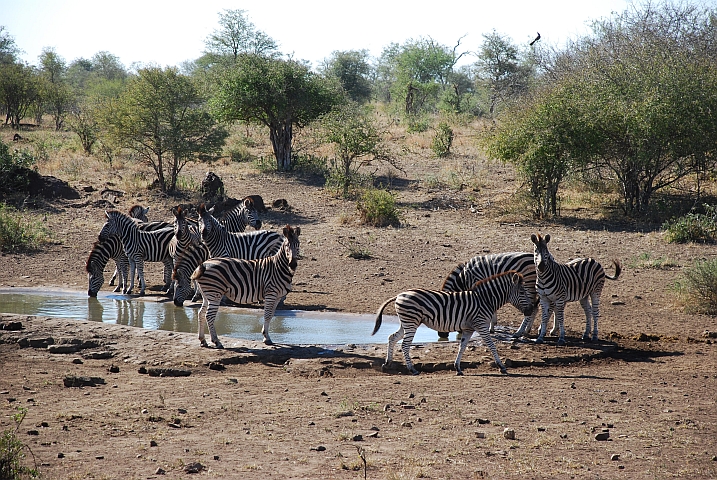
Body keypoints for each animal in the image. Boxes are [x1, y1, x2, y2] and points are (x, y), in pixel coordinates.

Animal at [372, 271, 536, 376]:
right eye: (522, 293)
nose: (530, 310)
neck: (485, 300)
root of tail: (399, 294)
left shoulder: (469, 328)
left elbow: (462, 347)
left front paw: (458, 368)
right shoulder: (481, 324)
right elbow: (491, 345)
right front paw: (502, 367)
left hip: (406, 322)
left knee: (392, 337)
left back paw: (387, 363)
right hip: (411, 322)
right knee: (405, 345)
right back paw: (412, 369)